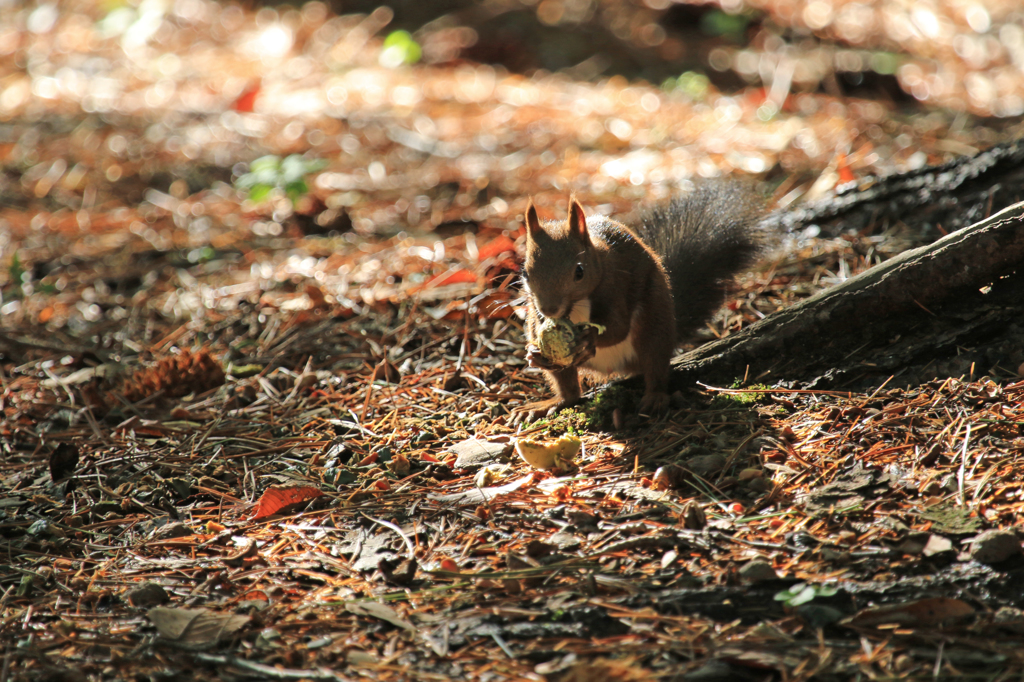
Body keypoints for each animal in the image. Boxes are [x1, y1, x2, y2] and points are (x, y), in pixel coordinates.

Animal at [520, 180, 770, 417]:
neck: (575, 306)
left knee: (655, 366)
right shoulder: (535, 310)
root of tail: (617, 366)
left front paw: (587, 338)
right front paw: (534, 353)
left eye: (579, 272)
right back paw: (549, 401)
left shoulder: (615, 287)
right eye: (525, 273)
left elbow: (617, 328)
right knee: (569, 390)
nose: (549, 310)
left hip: (654, 326)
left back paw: (654, 397)